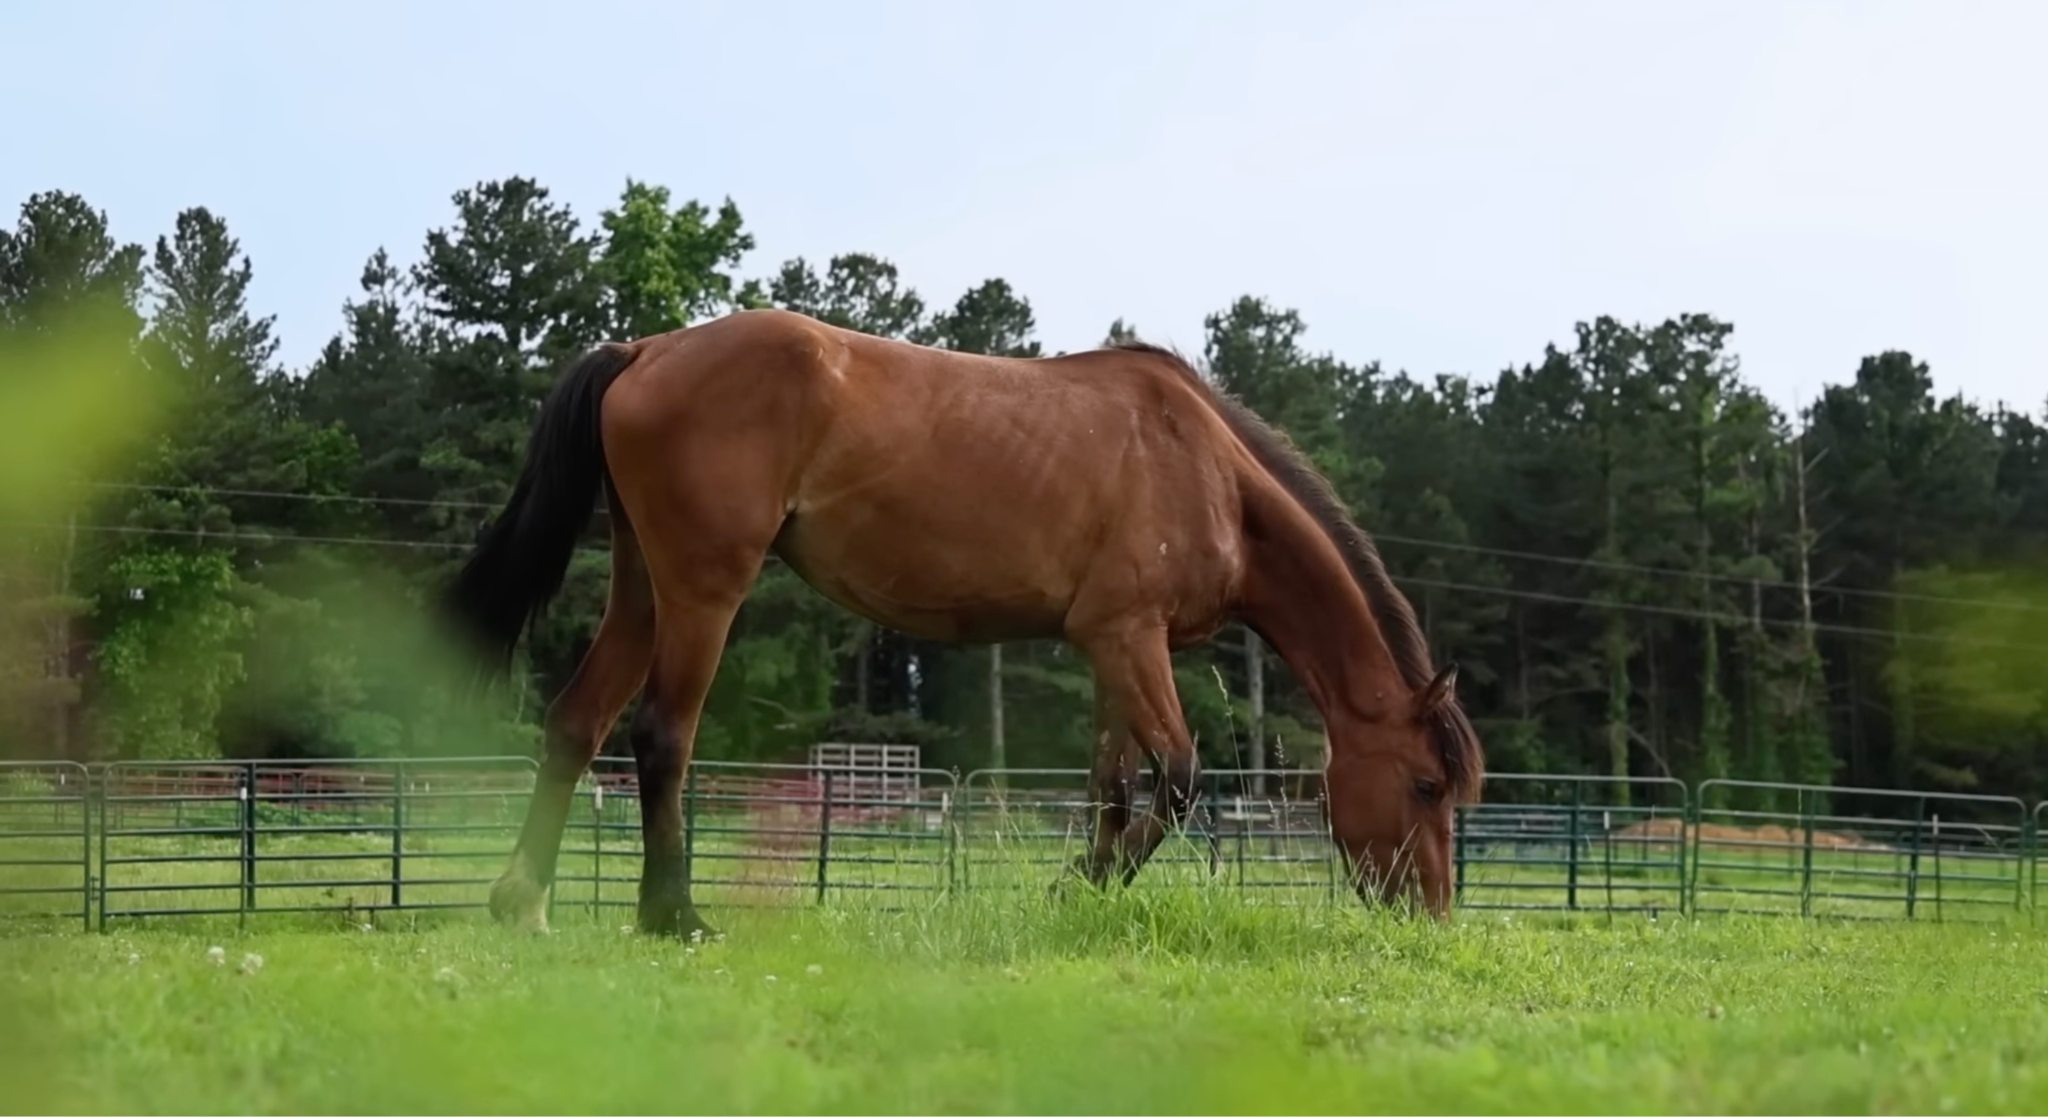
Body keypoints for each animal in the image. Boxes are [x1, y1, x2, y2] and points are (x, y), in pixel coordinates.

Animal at [443, 307, 1484, 938]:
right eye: (1427, 784)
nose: (1432, 914)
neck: (1208, 469)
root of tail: (647, 349)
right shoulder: (1130, 638)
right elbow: (1181, 780)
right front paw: (1085, 886)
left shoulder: (1112, 645)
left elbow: (1114, 787)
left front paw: (1080, 892)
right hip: (705, 588)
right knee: (662, 734)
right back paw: (674, 915)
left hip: (642, 588)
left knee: (577, 722)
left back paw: (521, 902)